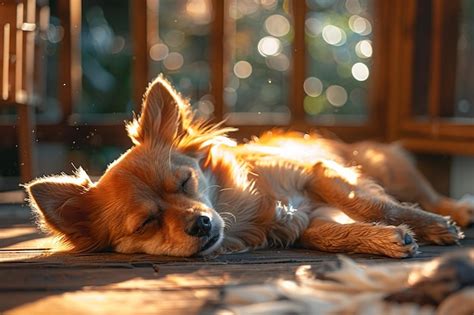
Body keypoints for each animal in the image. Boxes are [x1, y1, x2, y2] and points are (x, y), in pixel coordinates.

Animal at [24, 75, 472, 258]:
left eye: (185, 182)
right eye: (147, 223)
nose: (202, 223)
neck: (245, 211)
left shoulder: (320, 174)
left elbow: (375, 206)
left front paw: (431, 227)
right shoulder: (307, 221)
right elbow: (327, 236)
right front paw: (387, 240)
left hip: (390, 170)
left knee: (427, 195)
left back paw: (456, 211)